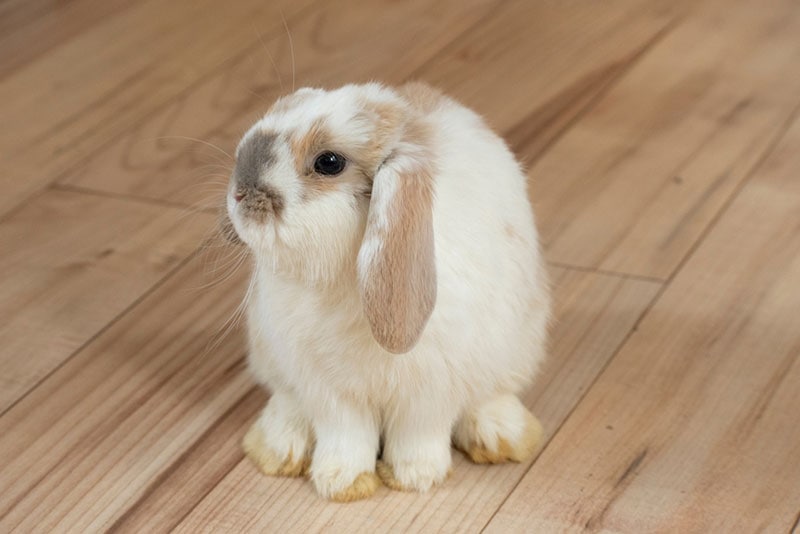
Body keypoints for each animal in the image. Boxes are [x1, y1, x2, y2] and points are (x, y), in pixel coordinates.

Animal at [226, 81, 551, 502]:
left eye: (329, 162)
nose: (239, 193)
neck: (346, 282)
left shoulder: (430, 388)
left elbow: (417, 434)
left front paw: (414, 477)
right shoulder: (327, 388)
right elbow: (345, 435)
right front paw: (342, 483)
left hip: (517, 349)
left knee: (492, 394)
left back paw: (500, 437)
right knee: (286, 401)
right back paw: (279, 449)